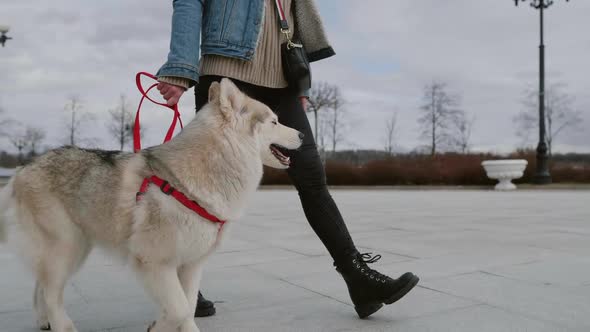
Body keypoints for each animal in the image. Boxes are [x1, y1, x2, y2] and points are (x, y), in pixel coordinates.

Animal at [0, 78, 306, 332]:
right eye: (274, 121)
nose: (303, 134)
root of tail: (22, 169)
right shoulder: (155, 262)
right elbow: (180, 309)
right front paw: (158, 327)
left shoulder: (191, 264)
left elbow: (187, 307)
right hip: (66, 247)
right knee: (52, 293)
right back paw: (62, 325)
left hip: (74, 250)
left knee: (41, 285)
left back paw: (44, 322)